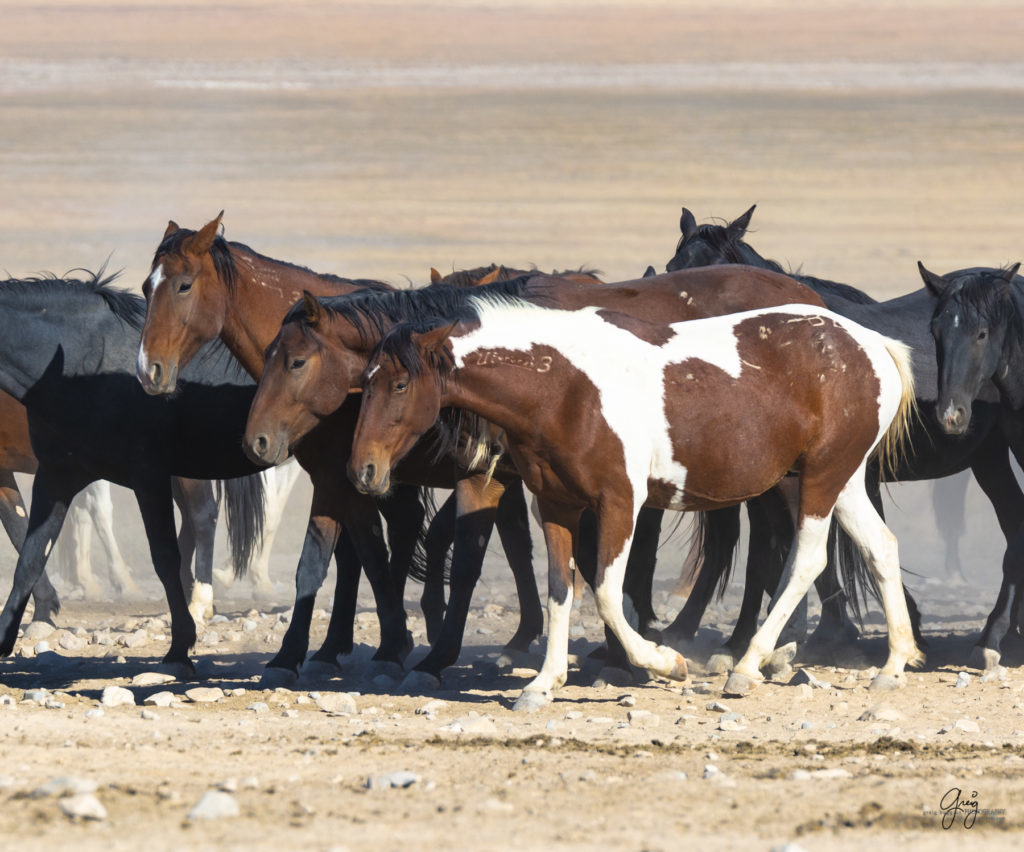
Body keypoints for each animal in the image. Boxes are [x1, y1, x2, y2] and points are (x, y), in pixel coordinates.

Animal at [0, 270, 266, 671]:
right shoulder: (56, 477)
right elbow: (28, 554)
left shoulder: (148, 477)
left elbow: (164, 557)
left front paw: (180, 647)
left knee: (202, 518)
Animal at [348, 296, 925, 708]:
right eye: (364, 384)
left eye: (400, 384)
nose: (363, 472)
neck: (564, 387)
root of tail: (869, 344)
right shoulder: (555, 506)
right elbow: (561, 591)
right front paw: (543, 684)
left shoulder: (621, 502)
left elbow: (607, 593)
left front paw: (665, 661)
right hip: (833, 480)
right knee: (881, 547)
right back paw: (893, 665)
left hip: (822, 479)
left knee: (807, 559)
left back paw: (745, 667)